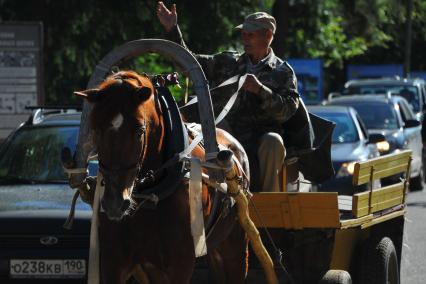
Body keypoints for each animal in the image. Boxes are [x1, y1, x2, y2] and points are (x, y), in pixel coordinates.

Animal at [74, 70, 250, 284]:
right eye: (96, 130)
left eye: (139, 131)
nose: (115, 203)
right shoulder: (113, 262)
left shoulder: (180, 264)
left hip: (235, 245)